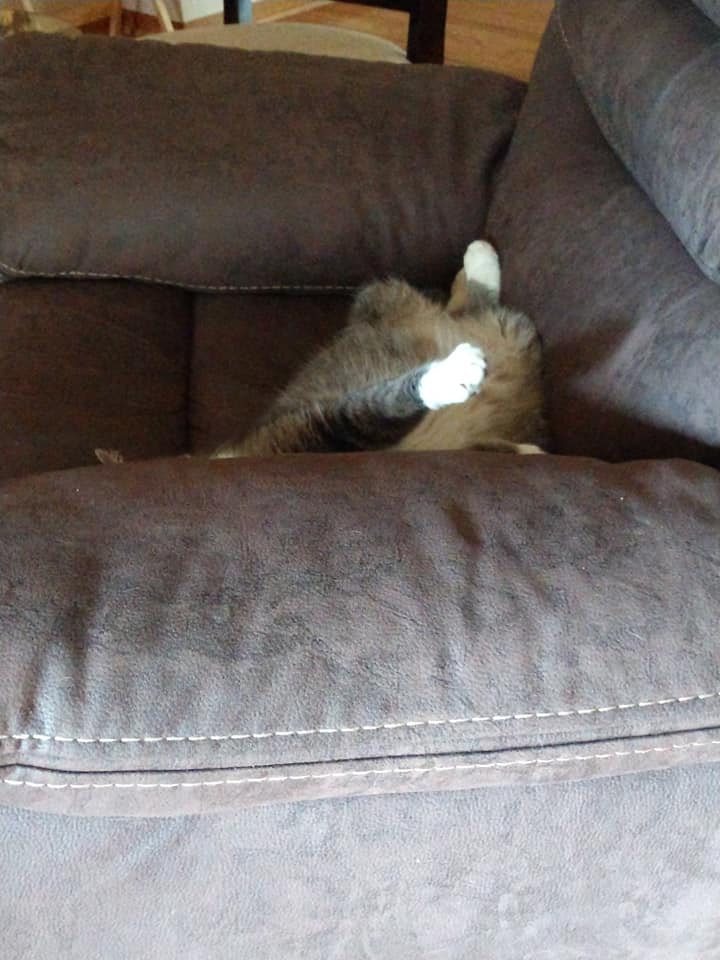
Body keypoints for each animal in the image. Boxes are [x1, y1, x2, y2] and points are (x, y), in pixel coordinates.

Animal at [211, 240, 546, 459]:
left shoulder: (318, 429)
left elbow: (377, 405)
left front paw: (446, 375)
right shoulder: (320, 432)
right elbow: (375, 408)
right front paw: (449, 377)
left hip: (382, 295)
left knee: (461, 304)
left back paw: (477, 259)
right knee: (469, 306)